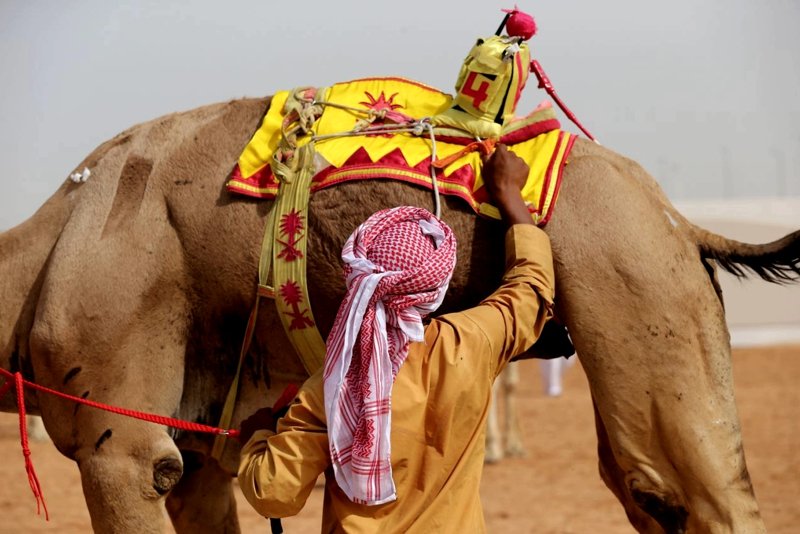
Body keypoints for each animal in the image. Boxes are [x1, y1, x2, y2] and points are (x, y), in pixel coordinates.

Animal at [0, 94, 796, 532]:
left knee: (688, 491)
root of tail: (680, 221)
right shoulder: (195, 450)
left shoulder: (119, 431)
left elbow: (135, 467)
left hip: (638, 279)